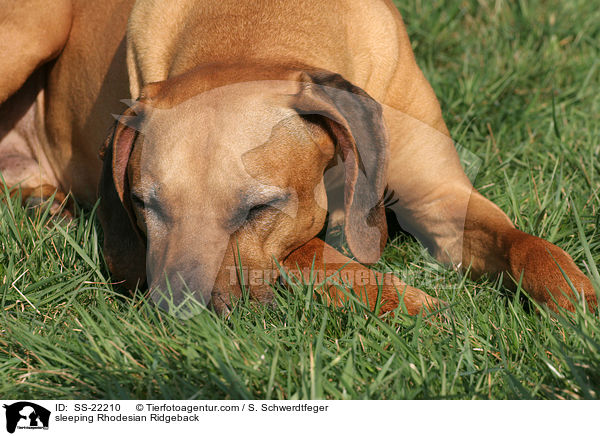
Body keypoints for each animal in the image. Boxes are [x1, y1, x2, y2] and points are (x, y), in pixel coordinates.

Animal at [0, 0, 596, 316]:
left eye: (259, 208)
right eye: (146, 206)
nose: (179, 315)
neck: (252, 26)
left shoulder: (441, 195)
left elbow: (527, 245)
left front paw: (576, 300)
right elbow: (329, 259)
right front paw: (421, 308)